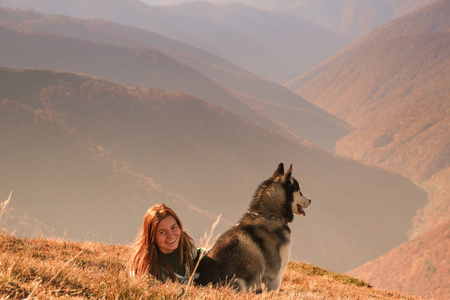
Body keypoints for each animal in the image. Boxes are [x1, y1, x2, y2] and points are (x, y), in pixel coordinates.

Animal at [195, 163, 312, 292]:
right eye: (299, 191)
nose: (310, 200)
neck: (271, 216)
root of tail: (198, 283)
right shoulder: (273, 276)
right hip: (238, 282)